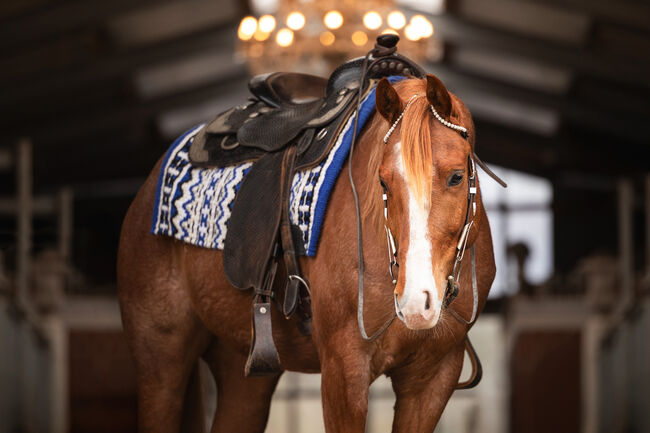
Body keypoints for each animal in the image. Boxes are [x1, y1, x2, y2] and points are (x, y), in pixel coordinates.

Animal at [119, 75, 496, 432]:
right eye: (383, 182)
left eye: (457, 177)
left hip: (243, 370)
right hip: (160, 362)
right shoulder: (343, 371)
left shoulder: (433, 379)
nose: (417, 302)